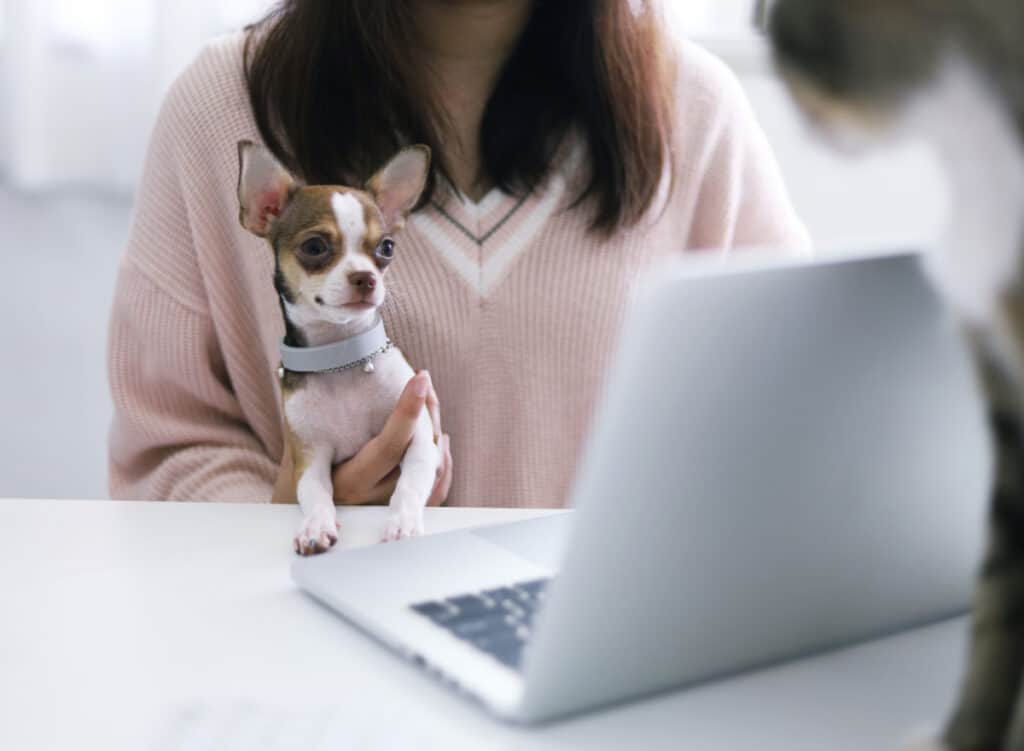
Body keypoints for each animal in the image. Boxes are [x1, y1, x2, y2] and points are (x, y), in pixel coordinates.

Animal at [237, 140, 442, 553]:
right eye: (315, 246)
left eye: (387, 247)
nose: (366, 277)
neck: (340, 357)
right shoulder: (309, 457)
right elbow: (316, 494)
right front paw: (316, 526)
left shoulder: (421, 439)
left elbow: (410, 485)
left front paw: (403, 524)